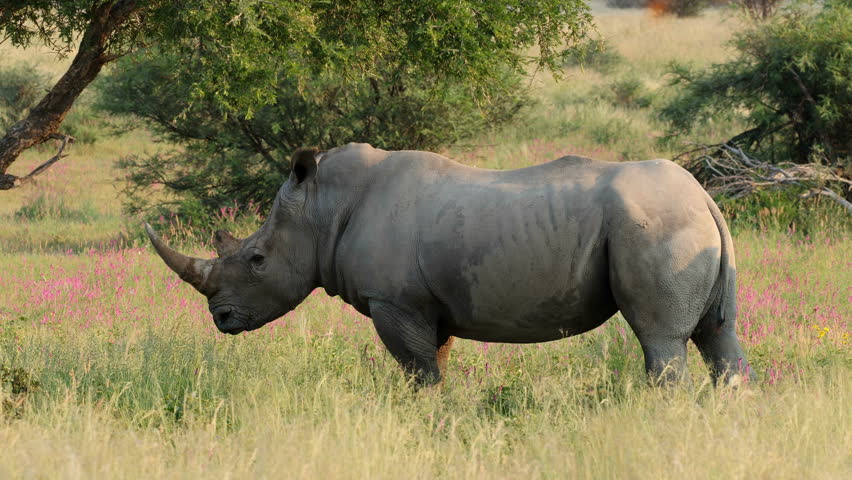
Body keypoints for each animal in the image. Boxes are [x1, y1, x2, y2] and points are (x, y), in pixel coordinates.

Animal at [146, 143, 752, 386]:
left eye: (256, 260)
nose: (221, 319)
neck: (322, 209)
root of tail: (706, 197)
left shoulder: (394, 301)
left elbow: (420, 370)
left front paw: (428, 417)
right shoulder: (426, 304)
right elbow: (435, 361)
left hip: (656, 225)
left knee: (661, 341)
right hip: (683, 225)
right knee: (716, 335)